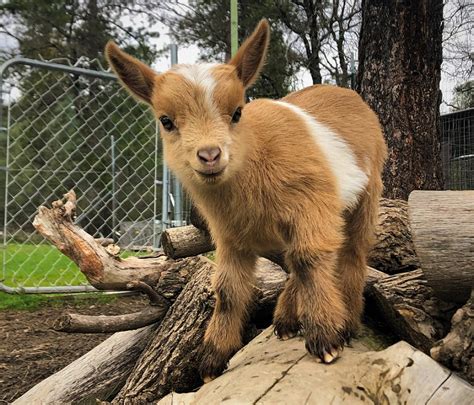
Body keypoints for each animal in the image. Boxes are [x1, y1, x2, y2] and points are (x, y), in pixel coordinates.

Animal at [105, 18, 386, 378]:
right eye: (165, 120)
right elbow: (227, 288)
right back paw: (286, 321)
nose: (210, 155)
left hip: (368, 192)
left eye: (237, 112)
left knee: (351, 252)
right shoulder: (230, 235)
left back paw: (347, 321)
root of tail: (349, 95)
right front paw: (212, 358)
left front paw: (325, 338)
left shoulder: (312, 202)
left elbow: (310, 259)